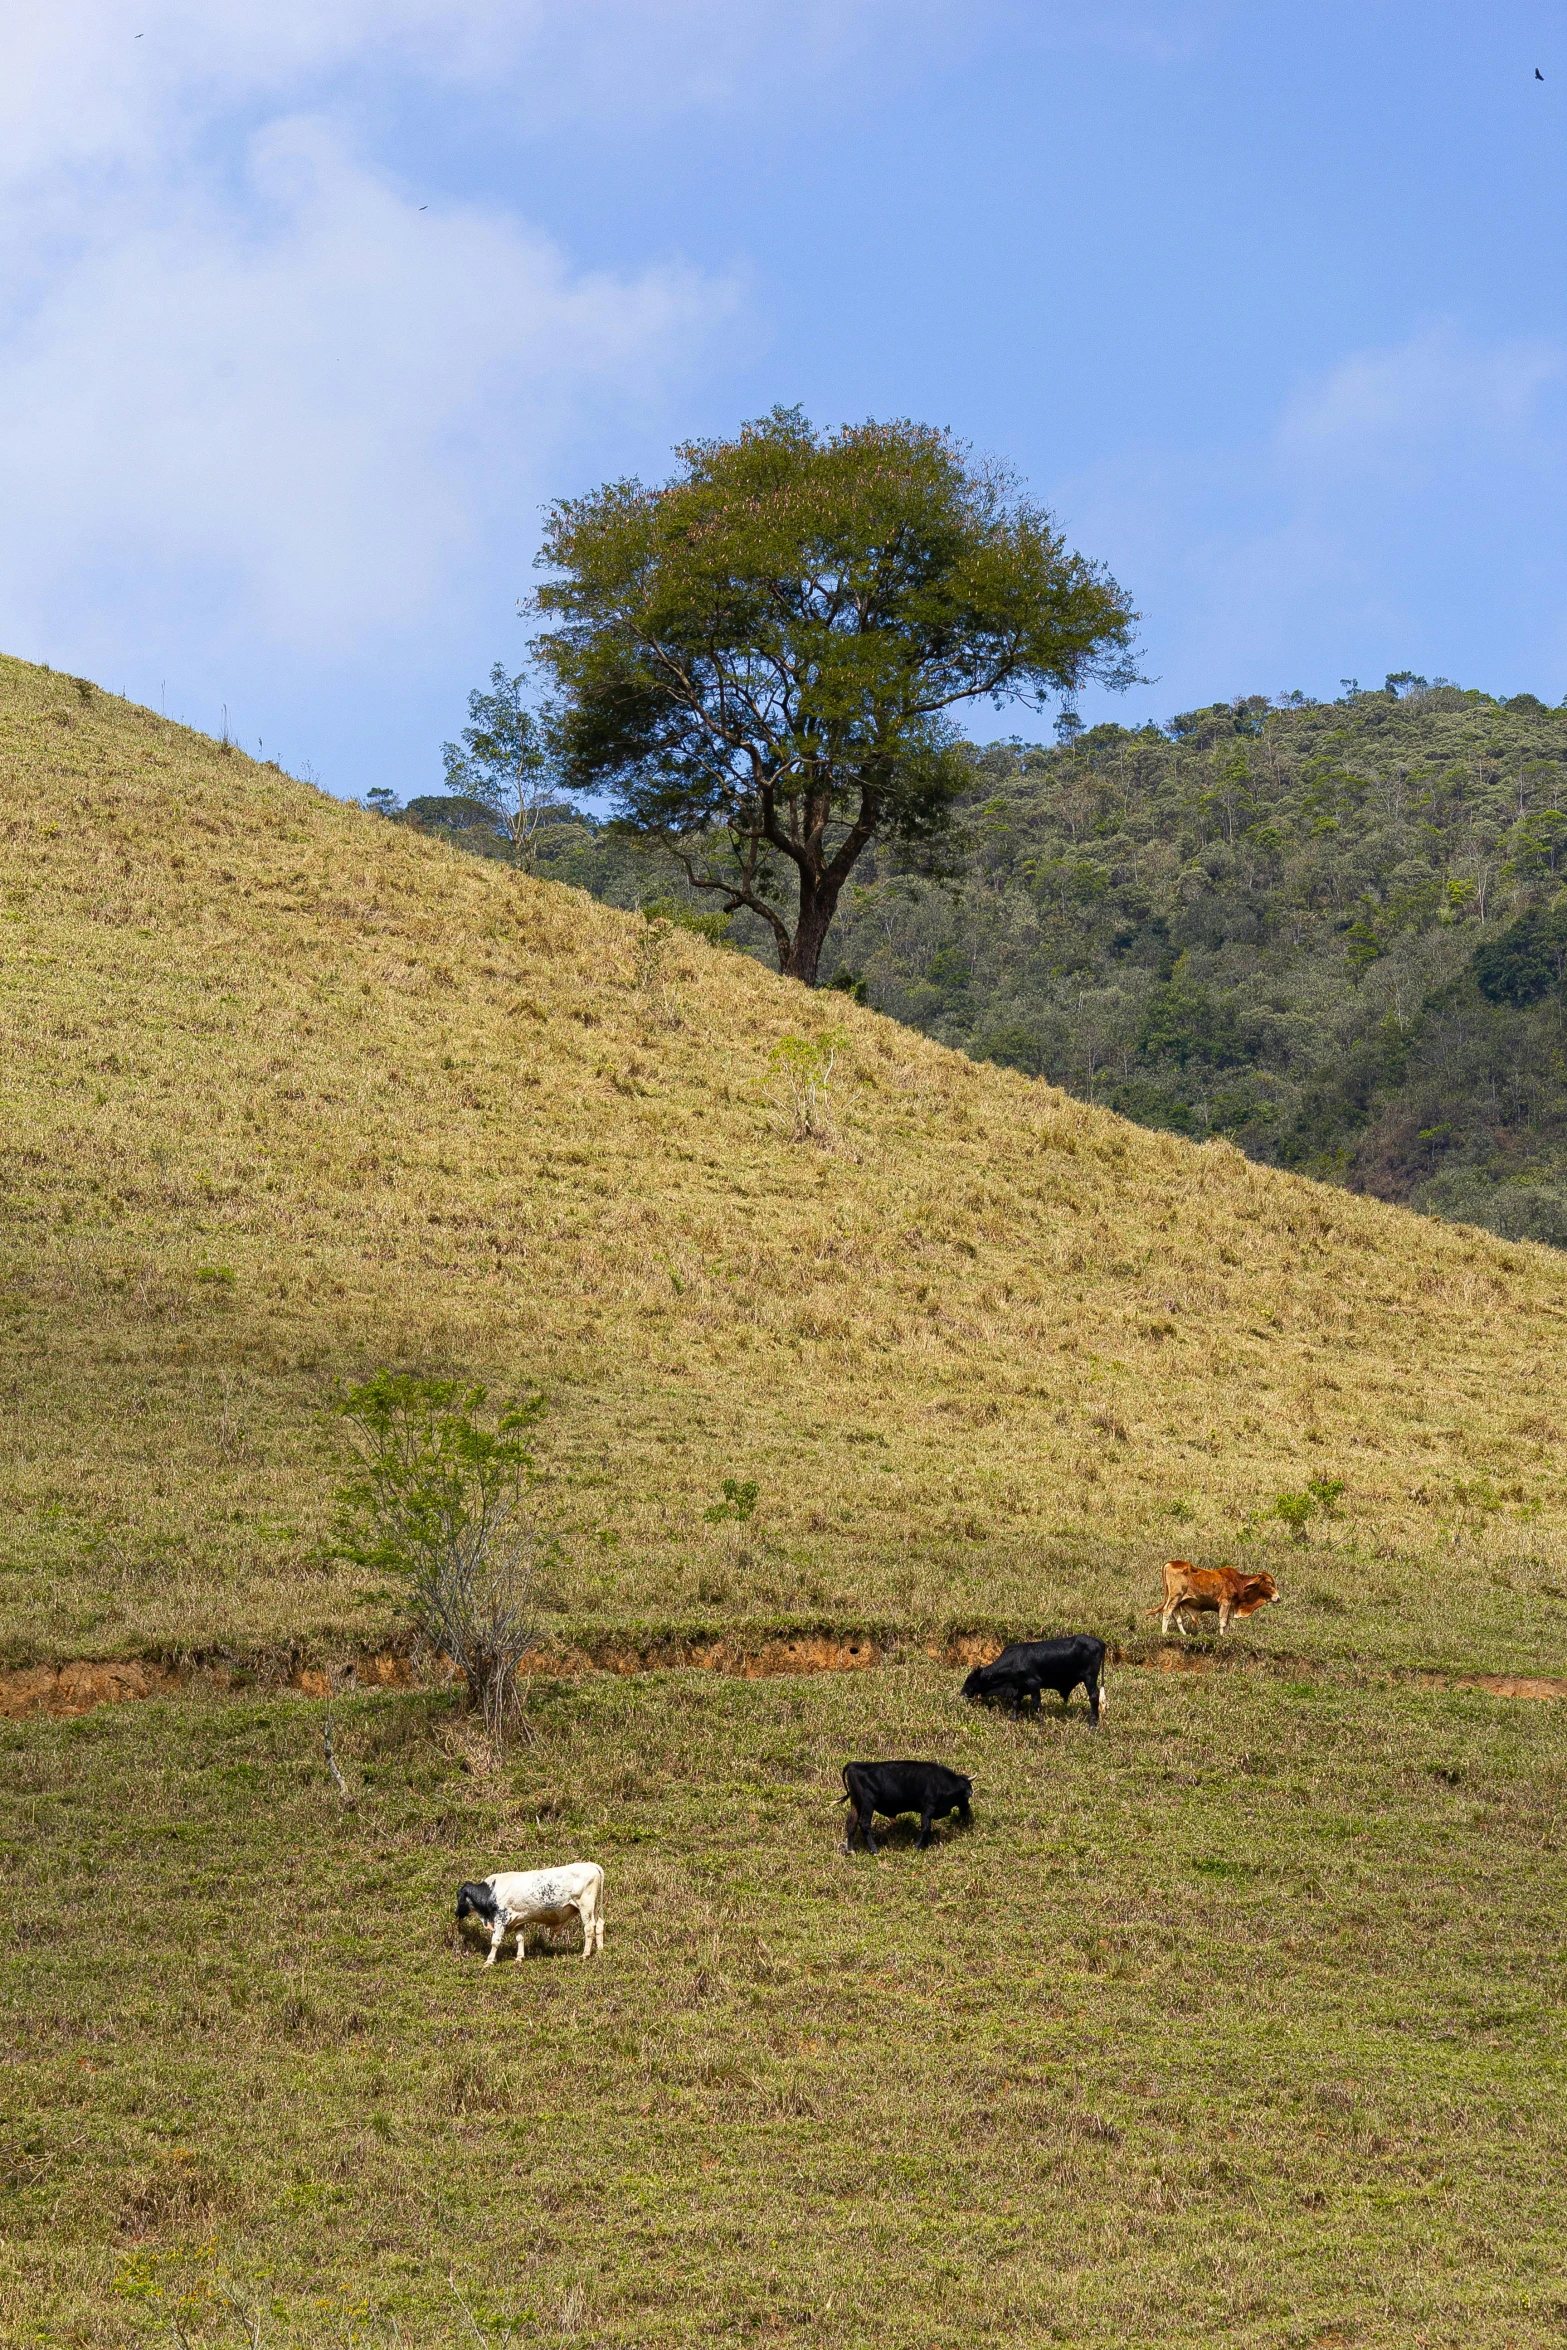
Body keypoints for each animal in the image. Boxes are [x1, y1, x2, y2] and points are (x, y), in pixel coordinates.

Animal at [453, 1861, 606, 1955]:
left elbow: (495, 1941)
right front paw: (519, 1957)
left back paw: (585, 1954)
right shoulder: (519, 1919)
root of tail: (590, 1864)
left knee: (589, 1928)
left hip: (585, 1907)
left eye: (458, 1896)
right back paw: (600, 1950)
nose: (456, 1913)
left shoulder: (501, 1918)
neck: (491, 1890)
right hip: (593, 1907)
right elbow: (520, 1938)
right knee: (599, 1924)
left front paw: (489, 1961)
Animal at [963, 1635, 1108, 1729]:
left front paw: (1041, 1724)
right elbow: (1016, 1703)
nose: (962, 1692)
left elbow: (1036, 1704)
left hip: (1090, 1677)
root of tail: (1098, 1640)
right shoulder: (1019, 1687)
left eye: (971, 1679)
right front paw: (1013, 1720)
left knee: (1093, 1697)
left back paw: (1092, 1725)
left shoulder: (1033, 1683)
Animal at [1151, 1560, 1287, 1635]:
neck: (1239, 1583)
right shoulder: (1225, 1602)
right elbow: (1222, 1622)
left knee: (1177, 1616)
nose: (1278, 1598)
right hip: (1175, 1596)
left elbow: (1227, 1624)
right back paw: (1164, 1632)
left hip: (1178, 1600)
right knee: (1167, 1611)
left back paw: (1184, 1634)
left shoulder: (1230, 1607)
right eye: (1269, 1583)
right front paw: (1221, 1637)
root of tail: (1170, 1563)